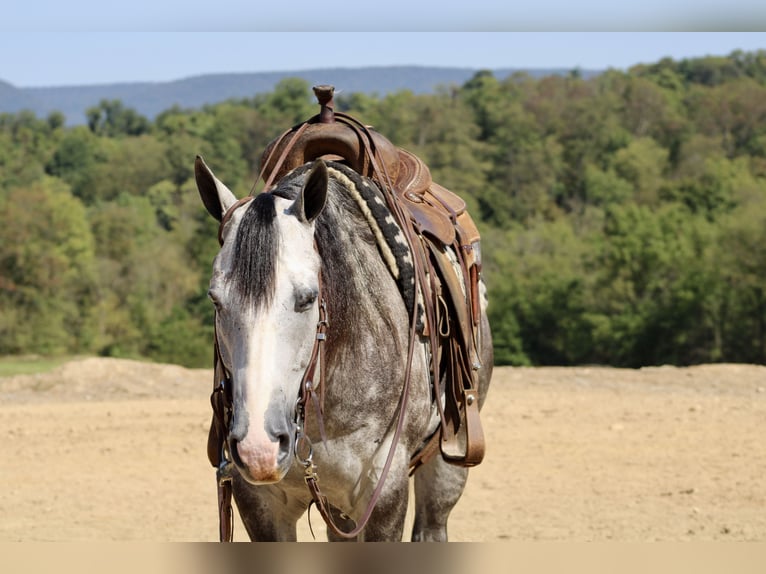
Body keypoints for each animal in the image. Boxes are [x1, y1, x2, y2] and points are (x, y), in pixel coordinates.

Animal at [195, 155, 496, 544]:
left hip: (447, 463)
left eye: (308, 298)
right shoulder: (261, 503)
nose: (258, 448)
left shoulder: (383, 492)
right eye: (216, 300)